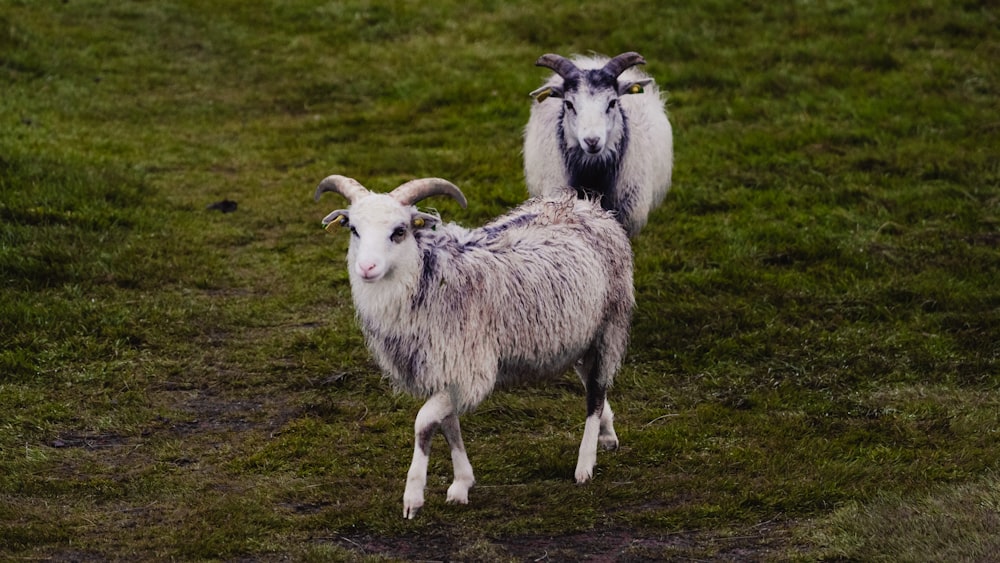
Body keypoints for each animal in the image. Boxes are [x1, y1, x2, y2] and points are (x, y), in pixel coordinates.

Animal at [312, 175, 632, 520]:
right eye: (354, 229)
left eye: (399, 231)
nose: (367, 268)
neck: (430, 278)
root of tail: (587, 206)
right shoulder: (442, 368)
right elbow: (448, 425)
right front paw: (462, 484)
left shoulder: (468, 368)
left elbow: (424, 423)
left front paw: (413, 497)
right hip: (578, 336)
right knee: (592, 382)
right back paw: (607, 435)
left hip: (608, 326)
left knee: (595, 393)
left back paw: (585, 465)